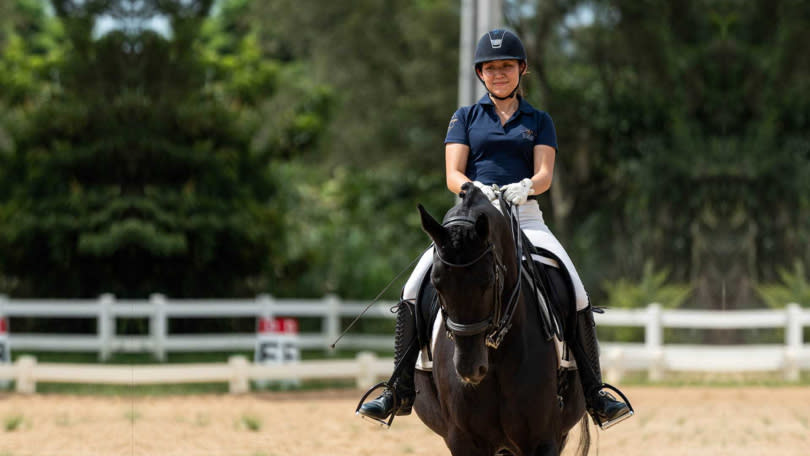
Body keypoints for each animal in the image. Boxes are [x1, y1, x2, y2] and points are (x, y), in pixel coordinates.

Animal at [414, 183, 584, 454]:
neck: (496, 357)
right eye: (436, 282)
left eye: (488, 281)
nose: (469, 368)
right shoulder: (463, 441)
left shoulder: (544, 440)